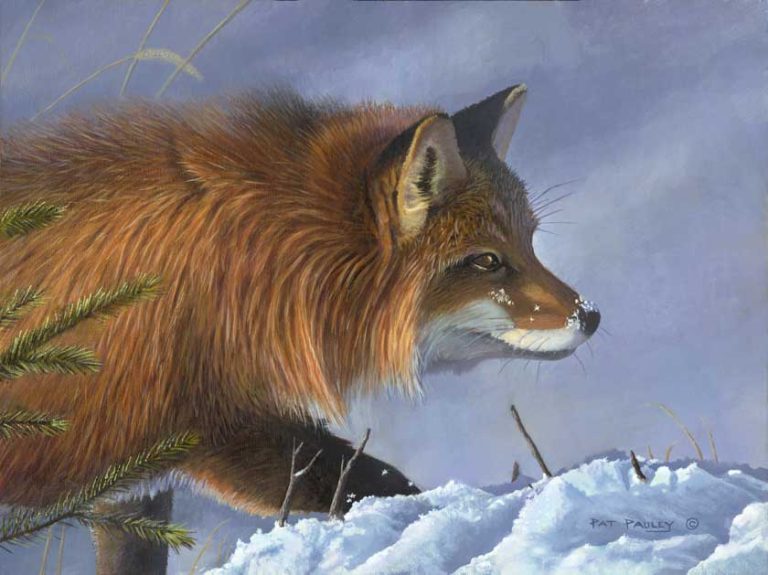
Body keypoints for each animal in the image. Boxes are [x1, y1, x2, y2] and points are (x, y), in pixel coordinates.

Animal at [0, 84, 599, 571]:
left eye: (530, 241)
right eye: (487, 261)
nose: (590, 315)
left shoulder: (134, 492)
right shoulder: (220, 432)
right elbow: (383, 483)